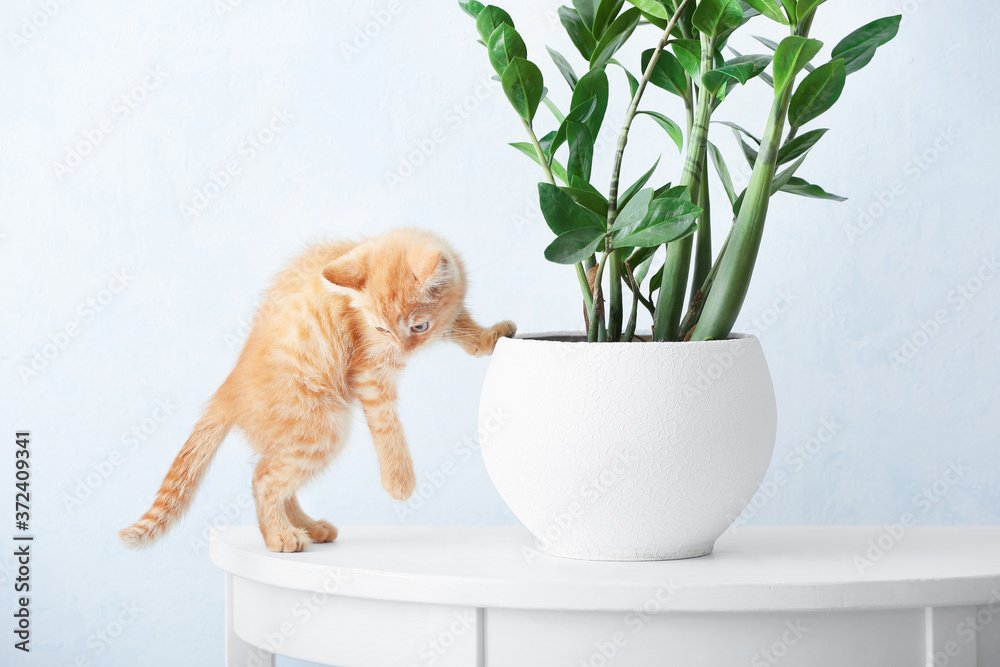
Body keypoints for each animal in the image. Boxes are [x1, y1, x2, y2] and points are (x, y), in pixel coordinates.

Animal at [119, 230, 516, 552]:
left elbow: (460, 325)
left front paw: (488, 337)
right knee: (264, 479)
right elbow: (386, 425)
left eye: (419, 326)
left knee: (271, 475)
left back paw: (307, 528)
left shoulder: (445, 316)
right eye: (380, 329)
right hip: (321, 426)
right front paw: (398, 479)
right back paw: (280, 536)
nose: (403, 350)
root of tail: (225, 393)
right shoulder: (368, 370)